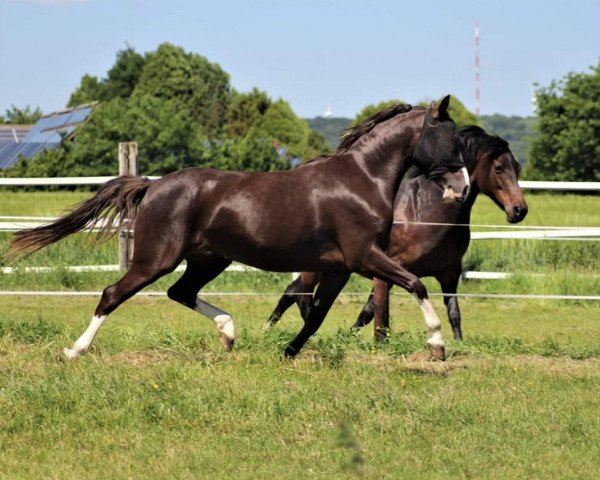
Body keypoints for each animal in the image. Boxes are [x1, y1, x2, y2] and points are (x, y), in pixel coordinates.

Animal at [7, 96, 472, 360]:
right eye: (449, 138)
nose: (463, 187)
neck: (361, 179)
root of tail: (154, 184)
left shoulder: (340, 267)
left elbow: (317, 314)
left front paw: (288, 352)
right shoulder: (365, 257)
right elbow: (417, 284)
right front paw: (437, 346)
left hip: (208, 259)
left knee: (181, 293)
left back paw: (229, 334)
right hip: (157, 258)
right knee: (112, 294)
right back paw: (74, 351)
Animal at [268, 125, 524, 344]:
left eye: (518, 167)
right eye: (499, 168)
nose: (520, 210)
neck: (425, 212)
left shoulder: (450, 274)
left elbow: (454, 313)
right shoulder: (388, 271)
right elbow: (374, 313)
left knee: (292, 291)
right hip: (316, 265)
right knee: (301, 295)